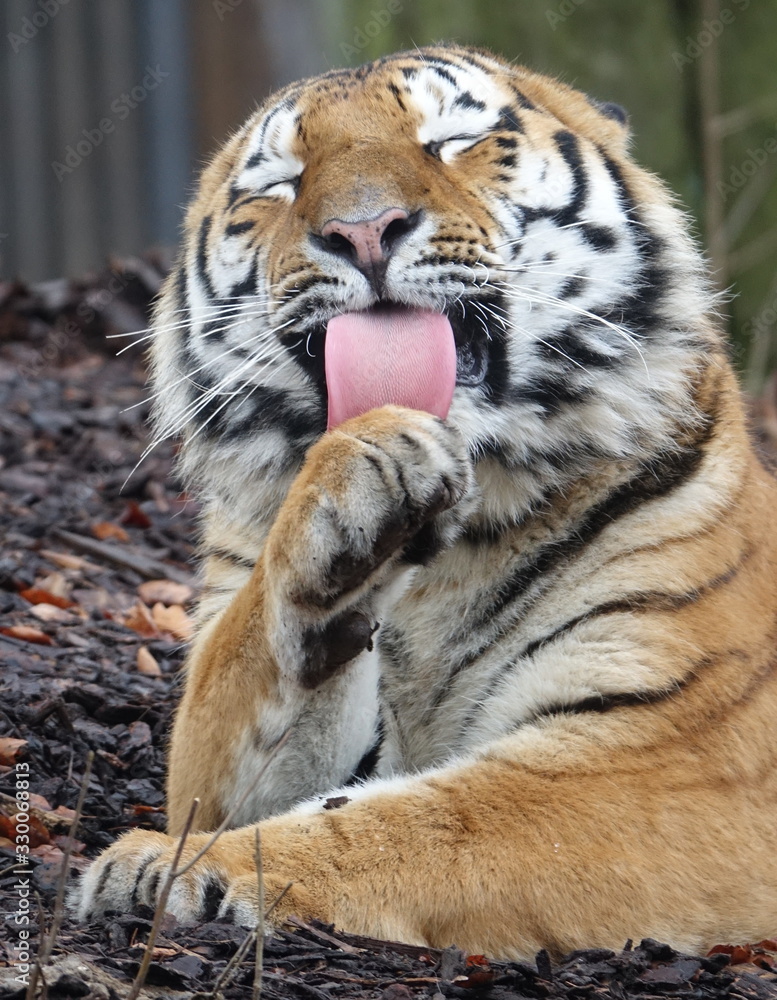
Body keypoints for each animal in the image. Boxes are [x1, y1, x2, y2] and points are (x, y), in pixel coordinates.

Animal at [74, 44, 777, 960]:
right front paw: (355, 494)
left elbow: (428, 824)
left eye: (450, 142)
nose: (363, 230)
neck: (461, 537)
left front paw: (177, 868)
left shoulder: (680, 754)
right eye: (281, 183)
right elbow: (245, 671)